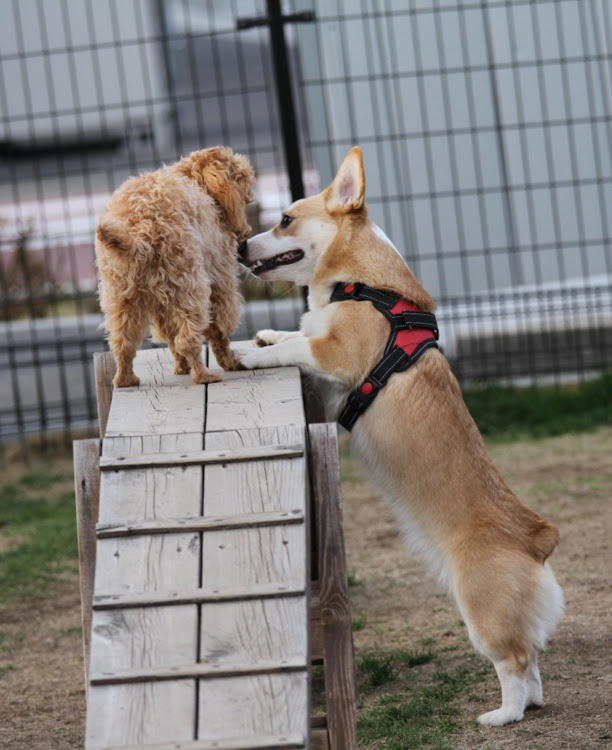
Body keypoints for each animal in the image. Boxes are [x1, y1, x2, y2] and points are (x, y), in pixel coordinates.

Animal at [95, 146, 256, 388]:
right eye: (243, 184)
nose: (245, 237)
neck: (194, 180)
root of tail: (139, 234)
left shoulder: (161, 304)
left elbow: (170, 336)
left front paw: (181, 367)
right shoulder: (220, 281)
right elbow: (219, 331)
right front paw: (229, 362)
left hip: (123, 299)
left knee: (123, 343)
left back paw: (126, 379)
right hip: (189, 286)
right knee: (188, 338)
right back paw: (203, 375)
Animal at [239, 147, 564, 728]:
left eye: (284, 220)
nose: (238, 246)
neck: (361, 283)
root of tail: (536, 539)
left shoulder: (336, 359)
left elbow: (299, 345)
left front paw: (245, 351)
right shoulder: (325, 379)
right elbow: (295, 334)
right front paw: (266, 333)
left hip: (480, 610)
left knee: (514, 659)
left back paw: (502, 715)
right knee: (532, 663)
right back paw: (529, 703)